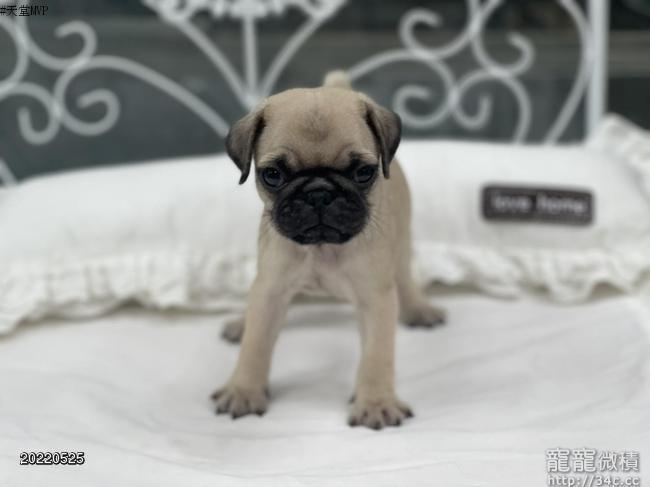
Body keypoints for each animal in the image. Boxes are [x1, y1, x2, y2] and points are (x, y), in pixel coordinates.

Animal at [212, 71, 446, 430]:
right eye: (273, 175)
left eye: (364, 172)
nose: (318, 192)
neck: (322, 249)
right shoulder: (270, 289)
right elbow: (255, 344)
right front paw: (244, 390)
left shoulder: (376, 299)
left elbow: (377, 355)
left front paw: (376, 403)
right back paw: (241, 323)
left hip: (402, 242)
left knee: (405, 278)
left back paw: (418, 309)